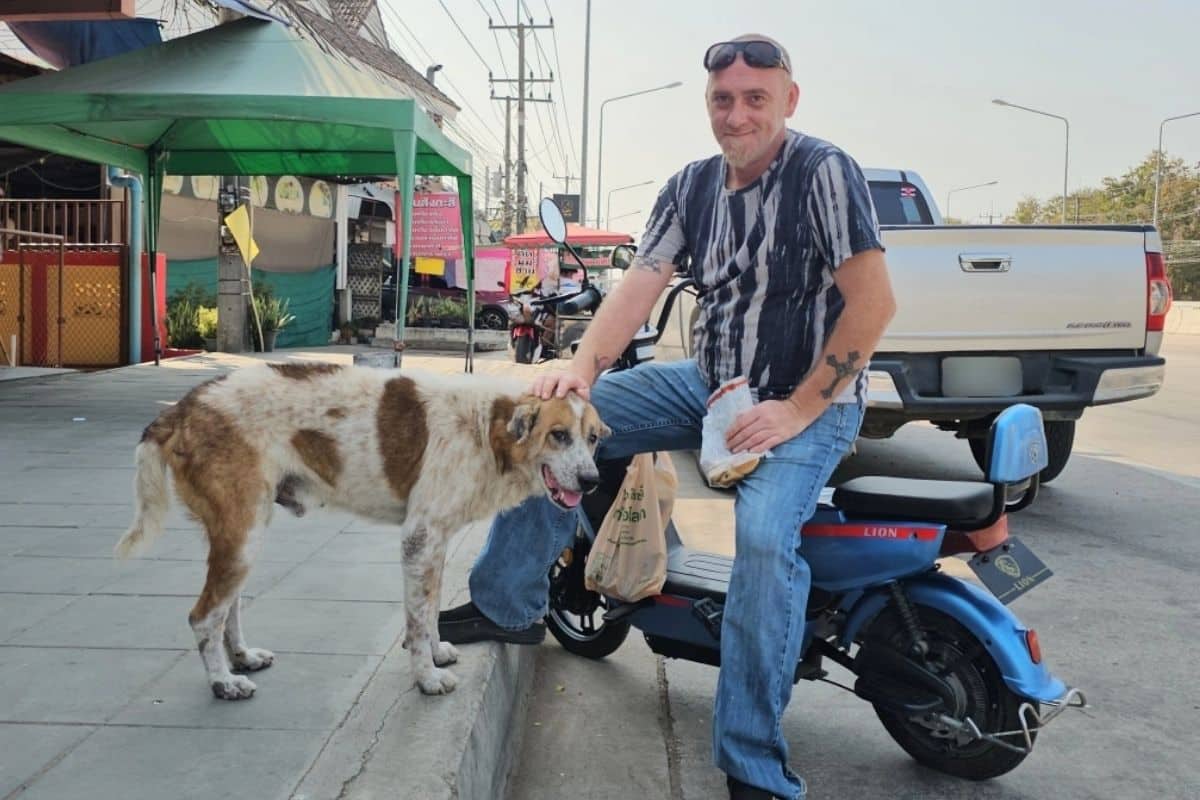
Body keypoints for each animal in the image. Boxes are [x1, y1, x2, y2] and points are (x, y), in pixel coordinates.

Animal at [114, 362, 609, 700]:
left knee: (226, 609)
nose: (591, 481)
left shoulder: (435, 544)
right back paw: (222, 682)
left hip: (242, 537)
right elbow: (416, 620)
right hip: (242, 534)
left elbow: (428, 609)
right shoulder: (419, 539)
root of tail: (183, 408)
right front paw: (426, 677)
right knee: (203, 616)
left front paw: (437, 652)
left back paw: (242, 658)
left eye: (592, 438)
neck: (487, 429)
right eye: (559, 435)